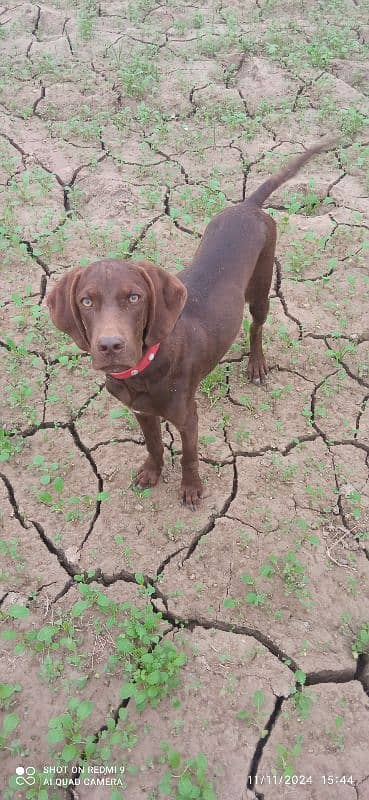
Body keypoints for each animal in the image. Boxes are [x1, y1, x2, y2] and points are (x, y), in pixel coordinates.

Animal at [47, 142, 326, 506]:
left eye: (134, 297)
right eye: (86, 301)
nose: (110, 346)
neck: (144, 370)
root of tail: (248, 206)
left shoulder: (187, 417)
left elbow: (190, 456)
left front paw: (191, 488)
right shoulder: (142, 412)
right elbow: (153, 445)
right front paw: (152, 472)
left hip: (262, 285)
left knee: (256, 326)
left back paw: (256, 364)